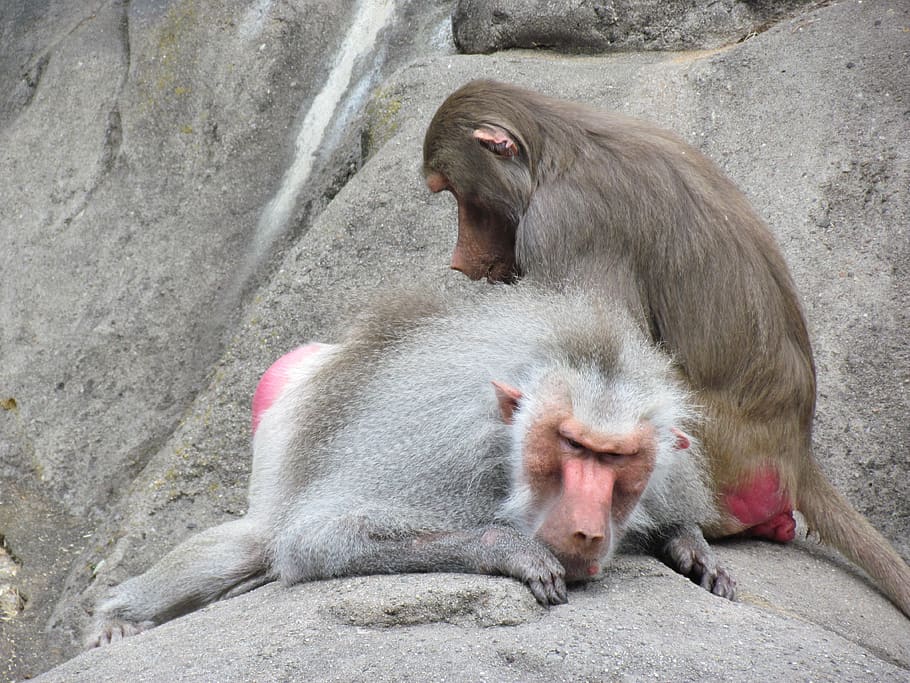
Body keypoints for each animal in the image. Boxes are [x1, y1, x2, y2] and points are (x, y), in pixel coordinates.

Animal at [85, 285, 733, 647]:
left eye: (615, 458)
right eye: (572, 445)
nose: (587, 531)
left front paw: (690, 544)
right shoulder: (437, 454)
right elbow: (319, 538)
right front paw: (511, 550)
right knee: (251, 543)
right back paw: (117, 620)